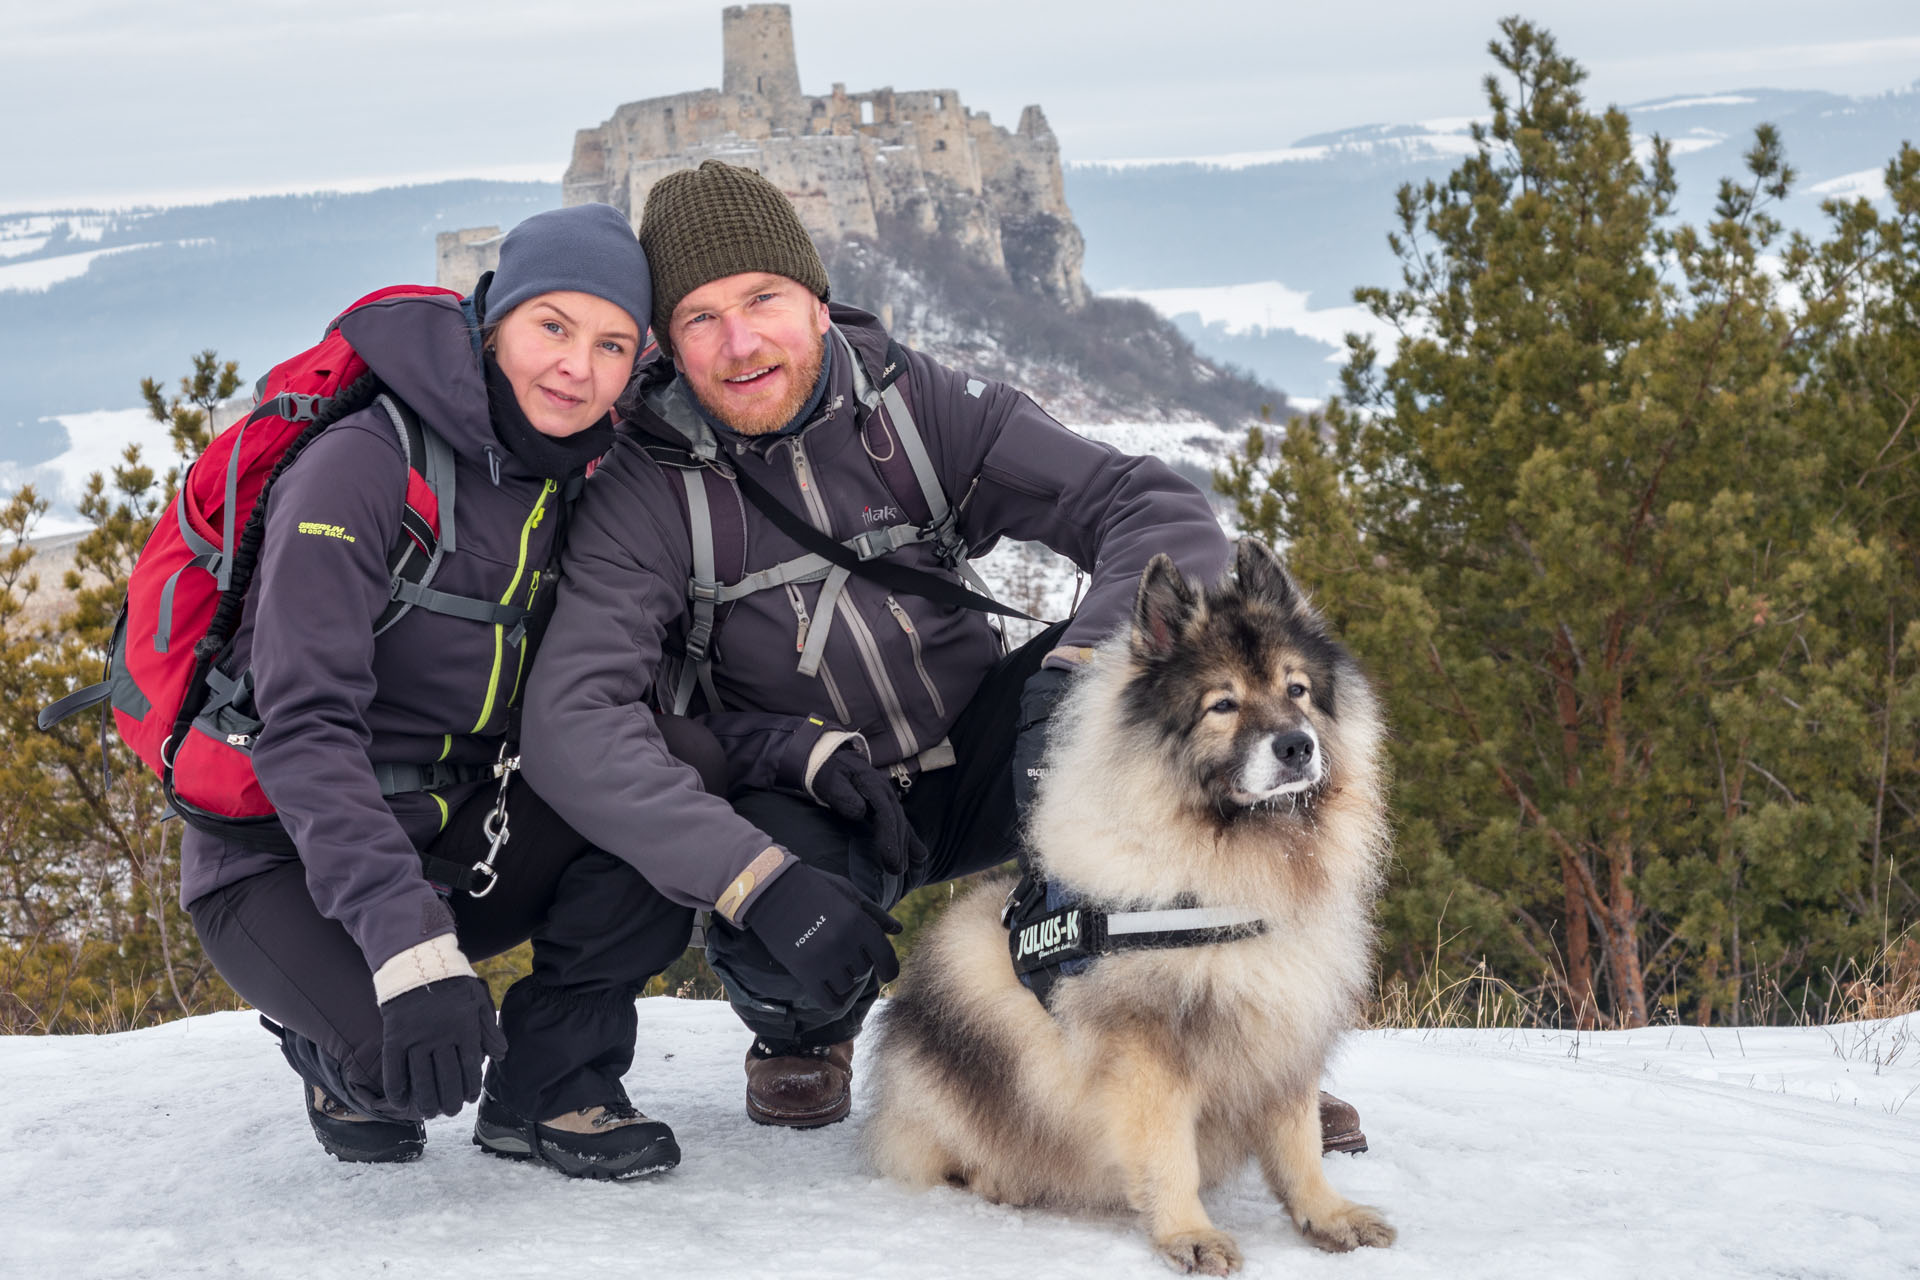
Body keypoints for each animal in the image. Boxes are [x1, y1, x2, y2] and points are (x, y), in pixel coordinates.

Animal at [871, 537, 1397, 1274]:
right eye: (1222, 705)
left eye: (1296, 690)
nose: (1297, 746)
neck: (1237, 862)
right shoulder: (1149, 1045)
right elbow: (1167, 1152)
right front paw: (1187, 1233)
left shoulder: (1282, 1027)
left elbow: (1299, 1146)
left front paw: (1326, 1215)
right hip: (961, 984)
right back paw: (1001, 1178)